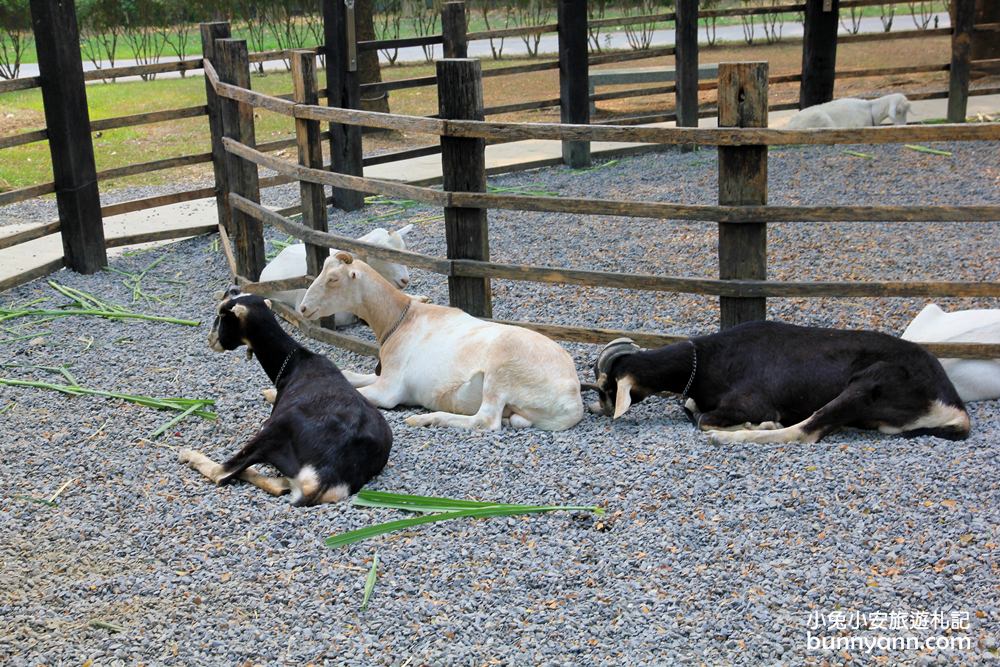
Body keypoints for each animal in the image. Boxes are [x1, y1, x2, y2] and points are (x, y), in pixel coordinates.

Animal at [182, 288, 392, 506]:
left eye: (222, 315)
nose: (210, 339)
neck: (295, 363)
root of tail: (321, 479)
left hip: (275, 429)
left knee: (222, 472)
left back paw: (188, 454)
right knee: (278, 486)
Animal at [294, 252, 584, 434]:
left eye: (333, 278)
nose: (303, 308)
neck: (401, 319)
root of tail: (572, 398)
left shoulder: (389, 389)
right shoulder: (382, 375)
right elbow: (349, 375)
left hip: (501, 372)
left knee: (486, 421)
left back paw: (424, 418)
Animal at [584, 322, 968, 446]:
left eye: (606, 387)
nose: (593, 408)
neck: (706, 359)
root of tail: (955, 409)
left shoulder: (751, 401)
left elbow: (703, 417)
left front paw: (755, 423)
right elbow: (693, 408)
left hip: (870, 382)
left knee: (805, 431)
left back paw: (733, 436)